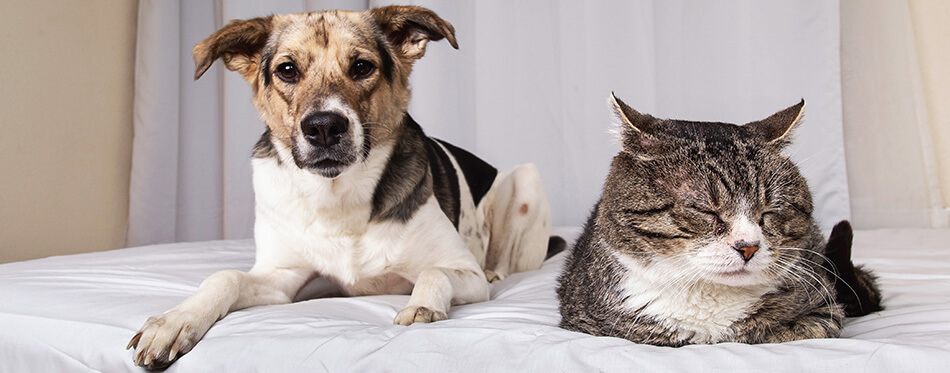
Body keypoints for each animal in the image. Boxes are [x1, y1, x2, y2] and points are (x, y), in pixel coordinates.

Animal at [124, 5, 556, 370]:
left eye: (362, 66)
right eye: (287, 70)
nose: (324, 127)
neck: (337, 197)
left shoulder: (465, 271)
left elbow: (435, 271)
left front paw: (422, 307)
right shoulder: (282, 278)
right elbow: (224, 277)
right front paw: (176, 320)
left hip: (527, 179)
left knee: (503, 258)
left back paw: (497, 271)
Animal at [556, 93, 884, 346]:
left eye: (768, 212)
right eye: (705, 211)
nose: (748, 247)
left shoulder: (823, 311)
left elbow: (782, 333)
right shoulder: (591, 324)